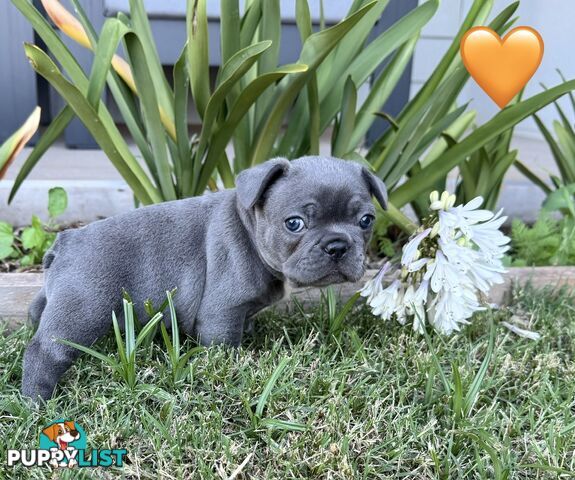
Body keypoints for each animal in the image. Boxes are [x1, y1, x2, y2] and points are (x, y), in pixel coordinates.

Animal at [21, 156, 388, 400]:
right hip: (84, 308)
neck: (249, 227)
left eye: (366, 220)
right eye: (294, 223)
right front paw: (231, 366)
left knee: (37, 312)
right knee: (45, 351)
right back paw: (37, 402)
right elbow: (222, 345)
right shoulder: (221, 312)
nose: (337, 245)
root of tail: (67, 240)